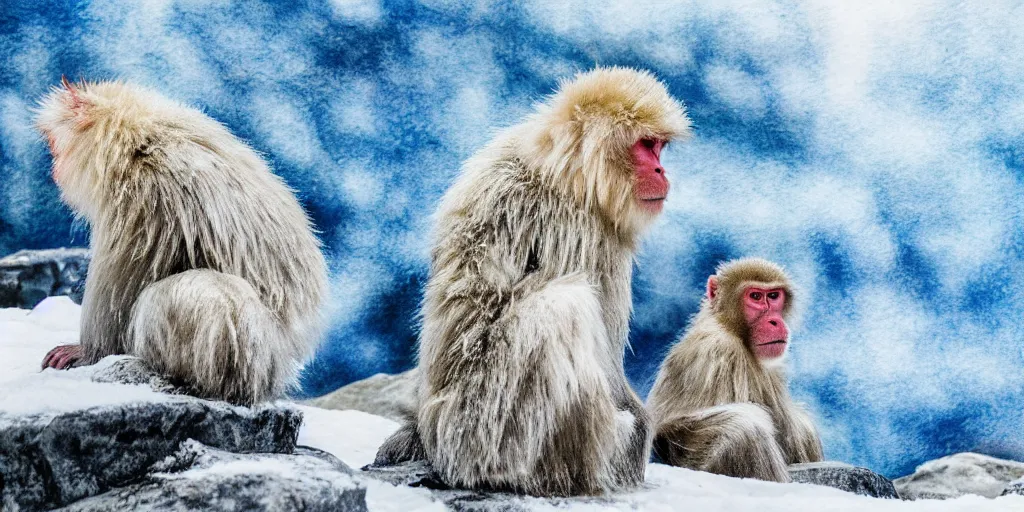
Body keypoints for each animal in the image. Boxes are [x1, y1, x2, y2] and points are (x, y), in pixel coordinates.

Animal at [36, 77, 325, 405]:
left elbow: (121, 282)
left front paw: (88, 352)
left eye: (54, 144)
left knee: (196, 292)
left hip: (258, 360)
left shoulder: (142, 195)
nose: (54, 168)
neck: (137, 138)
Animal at [372, 65, 692, 495]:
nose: (661, 170)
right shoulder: (585, 233)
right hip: (483, 429)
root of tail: (433, 441)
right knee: (565, 307)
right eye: (646, 146)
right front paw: (636, 432)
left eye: (658, 148)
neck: (562, 169)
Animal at [647, 258, 823, 481]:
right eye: (755, 296)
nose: (775, 321)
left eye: (773, 296)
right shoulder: (723, 352)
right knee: (743, 427)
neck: (729, 326)